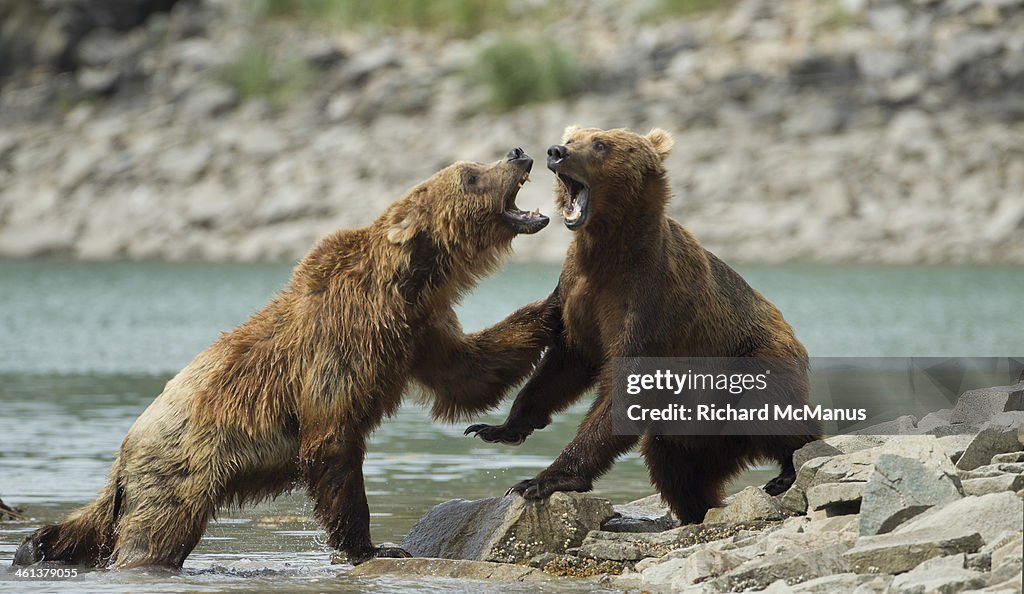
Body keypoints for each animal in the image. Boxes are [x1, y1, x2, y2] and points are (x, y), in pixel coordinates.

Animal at [12, 146, 557, 569]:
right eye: (469, 175)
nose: (517, 152)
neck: (405, 284)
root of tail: (125, 451)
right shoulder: (340, 345)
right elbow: (333, 442)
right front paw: (373, 546)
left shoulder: (419, 332)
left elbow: (468, 373)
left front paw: (553, 303)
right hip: (180, 470)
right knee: (155, 535)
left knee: (92, 525)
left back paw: (35, 545)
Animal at [468, 126, 819, 524]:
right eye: (572, 137)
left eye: (600, 144)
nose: (556, 151)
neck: (607, 252)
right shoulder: (579, 295)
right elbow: (562, 366)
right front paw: (498, 427)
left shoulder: (647, 304)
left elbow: (625, 390)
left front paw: (542, 479)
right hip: (687, 428)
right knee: (676, 468)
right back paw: (696, 508)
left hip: (748, 364)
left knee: (769, 412)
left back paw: (788, 470)